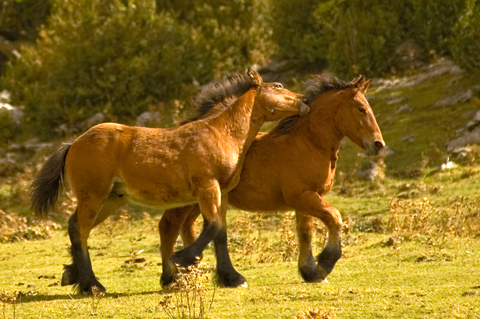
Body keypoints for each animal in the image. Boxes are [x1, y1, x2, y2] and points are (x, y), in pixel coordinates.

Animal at [31, 69, 308, 296]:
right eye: (279, 86)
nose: (305, 101)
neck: (220, 133)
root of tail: (73, 143)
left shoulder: (223, 192)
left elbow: (220, 233)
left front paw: (231, 278)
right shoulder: (208, 187)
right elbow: (213, 226)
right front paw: (183, 260)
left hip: (109, 199)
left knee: (74, 226)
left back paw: (74, 276)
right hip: (94, 196)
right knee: (80, 230)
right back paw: (92, 285)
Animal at [159, 74, 384, 288]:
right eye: (361, 109)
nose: (378, 144)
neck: (307, 142)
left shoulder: (307, 199)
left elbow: (306, 233)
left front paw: (310, 272)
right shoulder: (303, 197)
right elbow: (335, 217)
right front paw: (325, 263)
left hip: (198, 201)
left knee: (187, 227)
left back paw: (192, 271)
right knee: (169, 227)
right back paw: (174, 278)